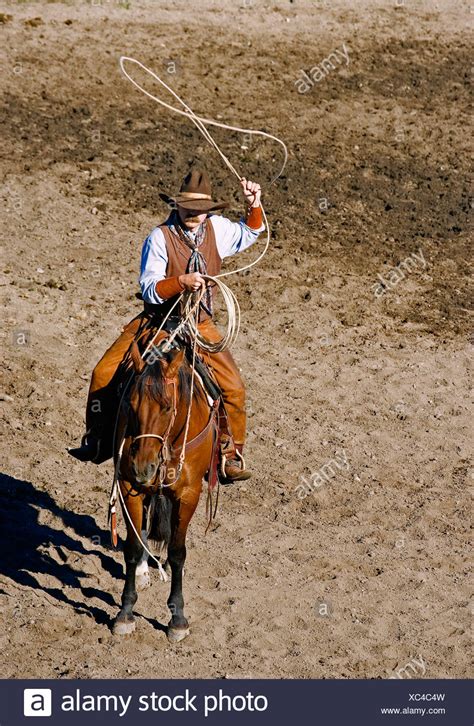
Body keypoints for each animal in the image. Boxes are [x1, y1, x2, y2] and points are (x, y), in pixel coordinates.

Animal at [113, 334, 218, 644]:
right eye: (131, 404)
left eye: (167, 408)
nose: (143, 467)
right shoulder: (128, 486)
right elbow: (133, 546)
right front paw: (126, 611)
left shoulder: (189, 494)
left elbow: (177, 552)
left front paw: (177, 618)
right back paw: (143, 570)